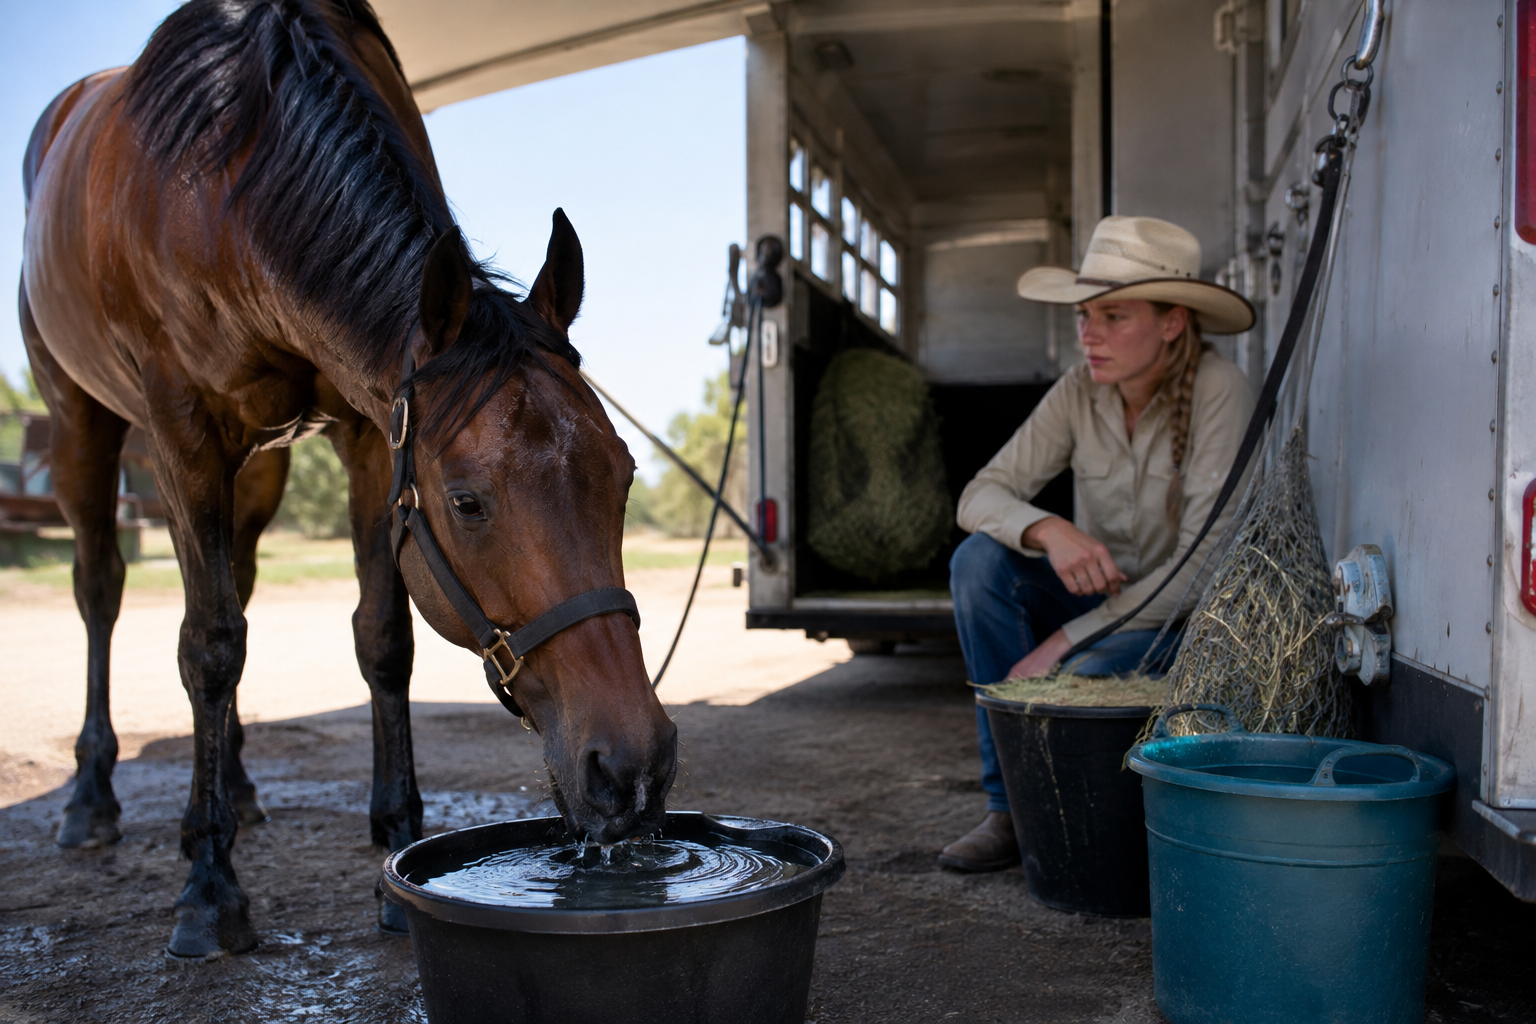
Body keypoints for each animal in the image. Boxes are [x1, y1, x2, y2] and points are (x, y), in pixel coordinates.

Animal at [19, 0, 676, 957]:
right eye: (467, 502)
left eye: (623, 476)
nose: (633, 766)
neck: (233, 173)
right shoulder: (183, 432)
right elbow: (207, 645)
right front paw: (208, 885)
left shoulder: (373, 434)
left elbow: (383, 640)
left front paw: (397, 851)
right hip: (82, 422)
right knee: (103, 591)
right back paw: (91, 796)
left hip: (256, 468)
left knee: (238, 587)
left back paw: (236, 788)